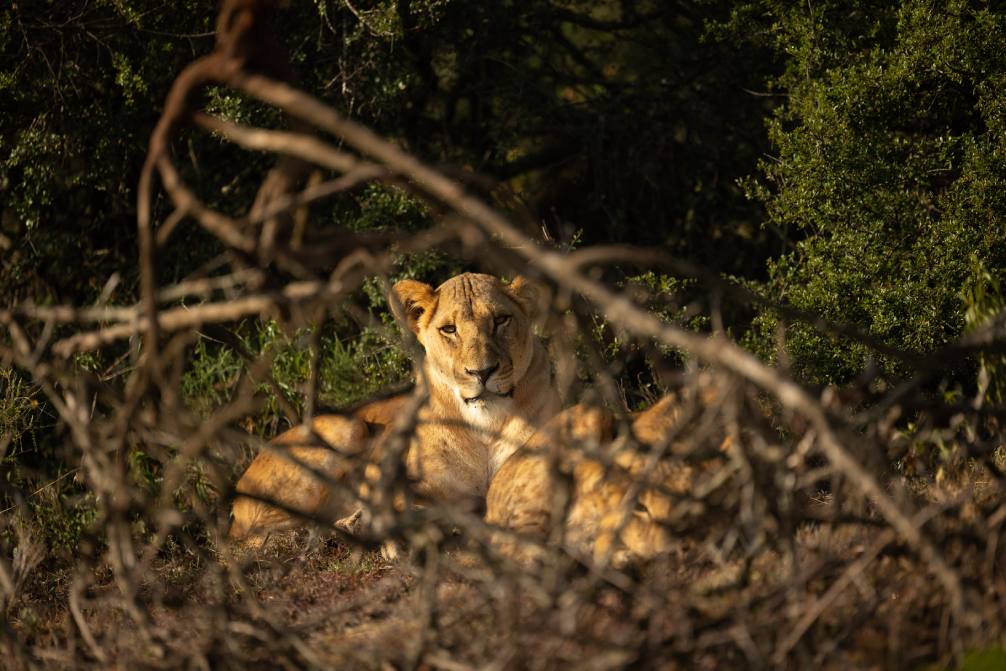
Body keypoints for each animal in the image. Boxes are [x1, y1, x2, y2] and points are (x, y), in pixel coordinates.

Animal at [228, 272, 561, 547]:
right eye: (449, 329)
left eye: (501, 320)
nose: (482, 372)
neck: (485, 426)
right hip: (347, 426)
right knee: (262, 534)